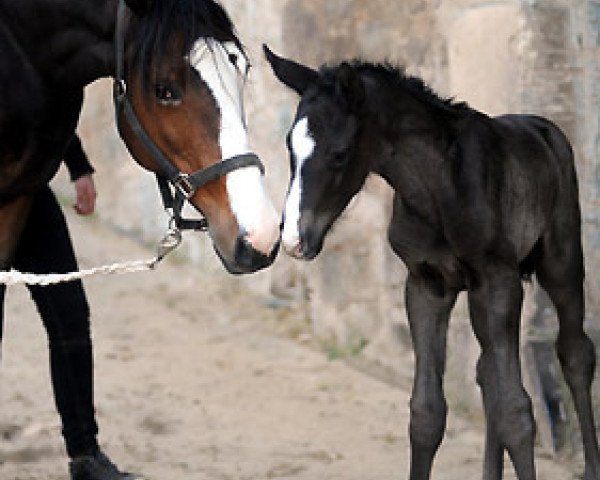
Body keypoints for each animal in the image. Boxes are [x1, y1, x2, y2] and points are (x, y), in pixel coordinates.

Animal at [264, 46, 596, 480]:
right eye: (290, 149)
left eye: (340, 153)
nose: (294, 240)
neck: (438, 188)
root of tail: (543, 128)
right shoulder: (426, 285)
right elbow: (427, 412)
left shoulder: (497, 281)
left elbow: (516, 412)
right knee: (487, 371)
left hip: (561, 262)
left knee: (575, 353)